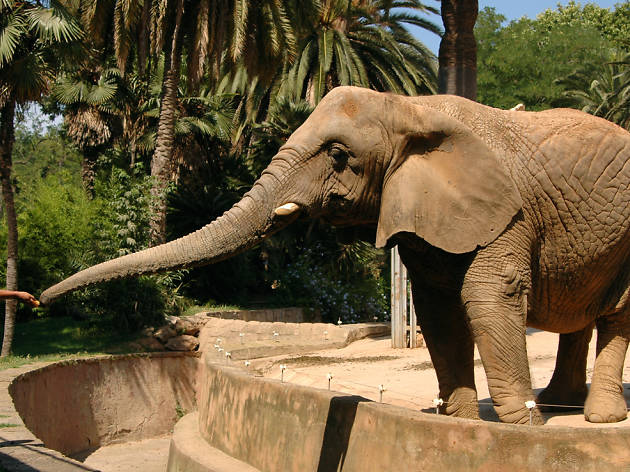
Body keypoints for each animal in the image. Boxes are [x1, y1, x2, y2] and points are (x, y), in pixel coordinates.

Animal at [39, 86, 630, 426]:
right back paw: (560, 406)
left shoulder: (509, 214)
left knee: (617, 313)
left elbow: (490, 294)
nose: (41, 301)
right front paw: (464, 423)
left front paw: (521, 430)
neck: (415, 109)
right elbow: (438, 308)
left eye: (340, 156)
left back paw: (594, 420)